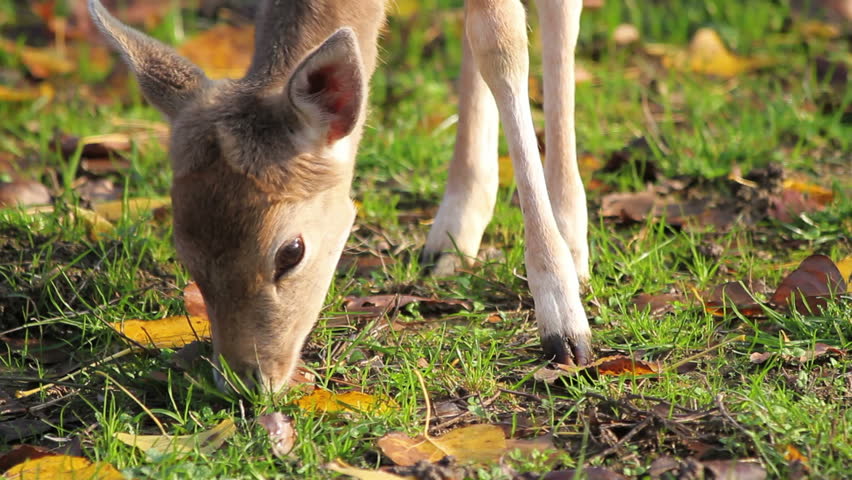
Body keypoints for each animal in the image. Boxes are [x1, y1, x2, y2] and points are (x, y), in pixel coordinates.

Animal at [89, 0, 593, 393]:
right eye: (185, 253)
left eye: (290, 252)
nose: (244, 381)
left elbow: (502, 41)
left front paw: (564, 324)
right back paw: (453, 236)